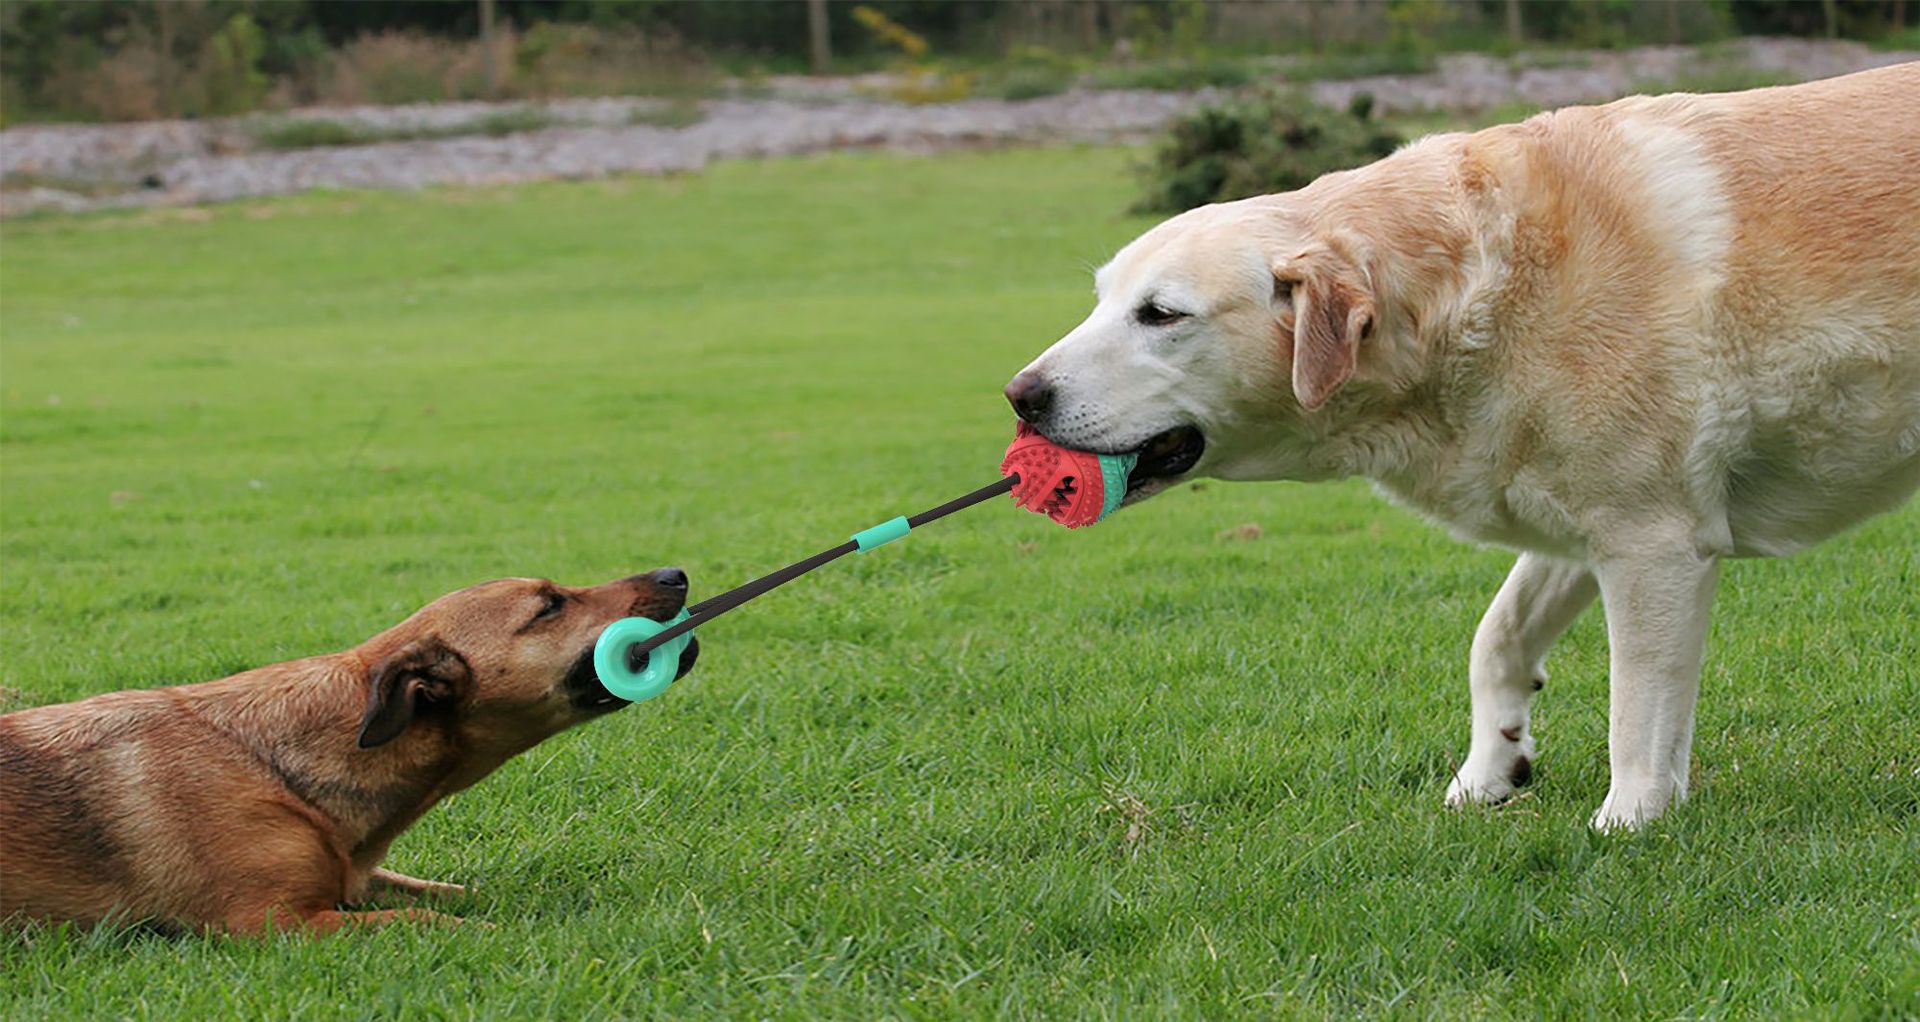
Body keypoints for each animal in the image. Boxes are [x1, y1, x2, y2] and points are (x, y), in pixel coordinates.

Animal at [0, 568, 691, 933]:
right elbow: (435, 924)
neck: (273, 765)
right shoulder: (277, 922)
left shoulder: (357, 880)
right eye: (550, 604)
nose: (674, 574)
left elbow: (448, 893)